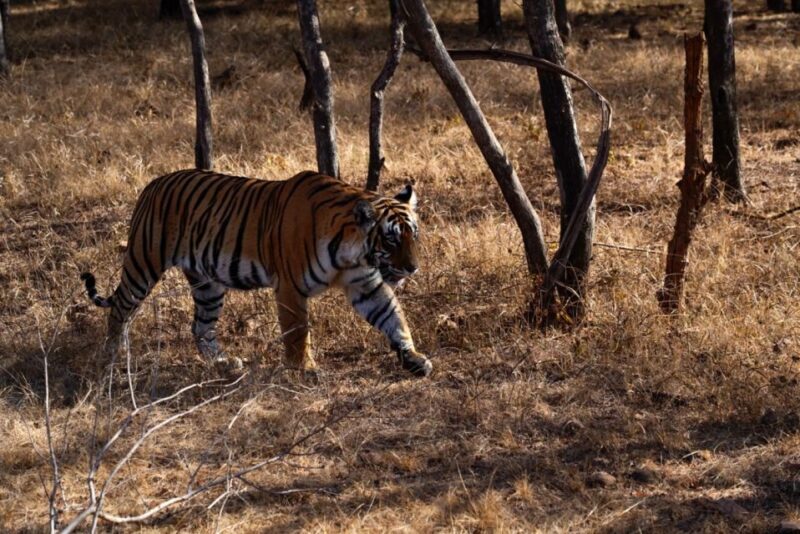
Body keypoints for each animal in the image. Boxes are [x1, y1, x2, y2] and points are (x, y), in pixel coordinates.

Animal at [80, 169, 432, 377]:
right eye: (391, 239)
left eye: (413, 235)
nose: (412, 267)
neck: (352, 252)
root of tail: (152, 184)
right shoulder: (291, 287)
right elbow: (298, 331)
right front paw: (304, 368)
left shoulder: (365, 282)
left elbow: (392, 318)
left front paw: (413, 358)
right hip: (143, 263)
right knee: (120, 309)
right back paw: (112, 359)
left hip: (208, 285)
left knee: (200, 328)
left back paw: (225, 364)